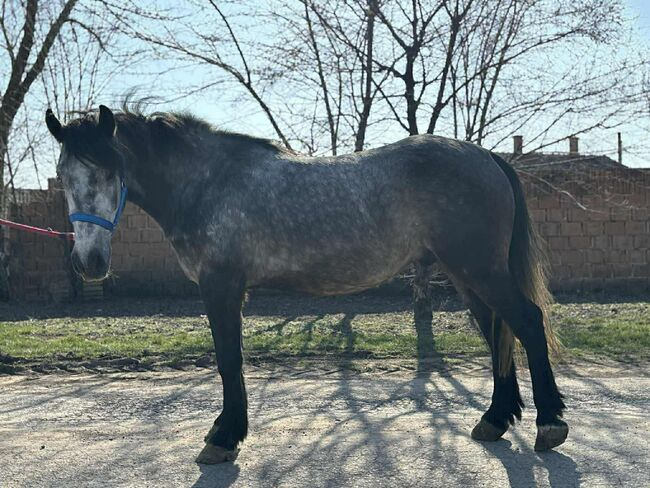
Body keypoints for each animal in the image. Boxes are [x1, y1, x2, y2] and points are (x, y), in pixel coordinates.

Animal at [45, 105, 568, 464]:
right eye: (64, 175)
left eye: (110, 171)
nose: (89, 263)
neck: (208, 182)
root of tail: (488, 157)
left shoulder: (222, 286)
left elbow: (228, 361)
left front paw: (224, 438)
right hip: (467, 276)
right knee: (499, 332)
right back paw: (494, 420)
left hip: (479, 270)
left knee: (528, 322)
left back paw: (549, 425)